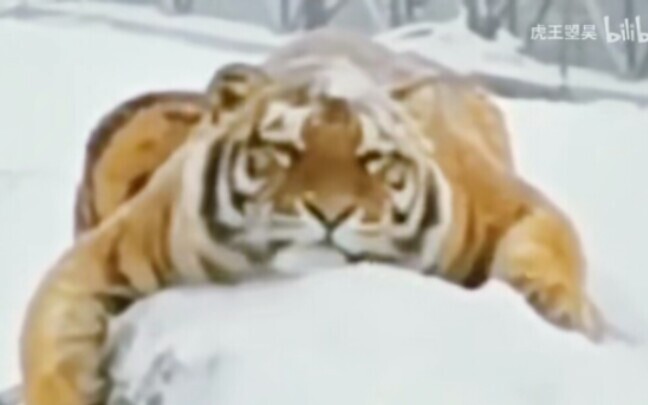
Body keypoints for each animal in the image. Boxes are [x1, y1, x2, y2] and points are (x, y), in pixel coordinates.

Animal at [21, 29, 604, 405]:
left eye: (374, 159)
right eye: (284, 150)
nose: (330, 211)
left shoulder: (502, 200)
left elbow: (548, 242)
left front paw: (559, 310)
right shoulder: (108, 255)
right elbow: (50, 342)